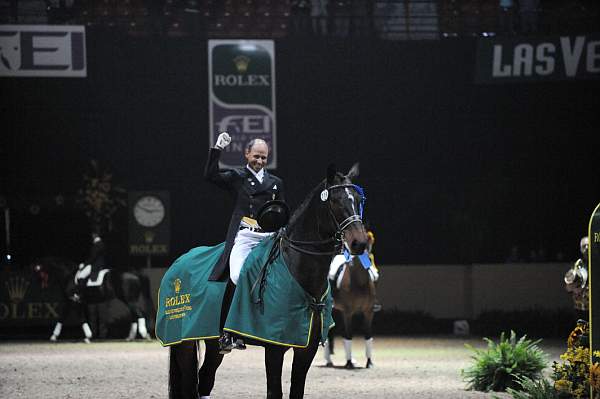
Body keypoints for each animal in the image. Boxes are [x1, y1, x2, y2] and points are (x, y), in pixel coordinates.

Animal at [166, 163, 368, 399]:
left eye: (358, 199)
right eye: (335, 200)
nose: (359, 243)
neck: (296, 269)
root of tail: (179, 262)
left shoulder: (306, 349)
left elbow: (296, 391)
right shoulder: (274, 347)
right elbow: (274, 392)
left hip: (214, 344)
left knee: (205, 379)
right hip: (185, 343)